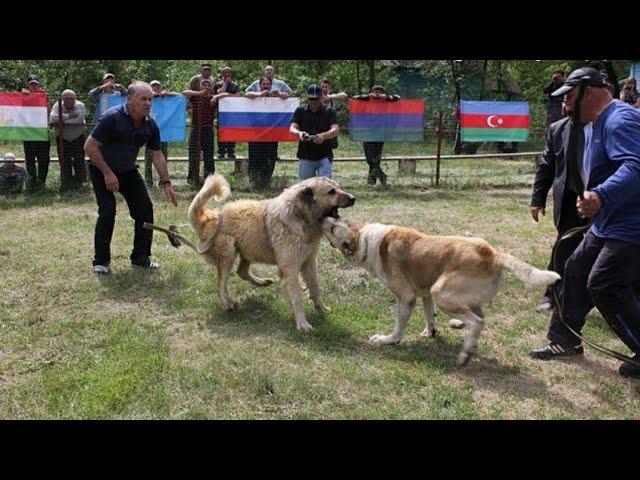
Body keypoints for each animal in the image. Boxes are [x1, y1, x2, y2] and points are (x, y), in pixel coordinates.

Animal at [188, 173, 358, 330]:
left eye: (338, 187)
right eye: (331, 191)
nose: (353, 198)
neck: (301, 216)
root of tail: (214, 216)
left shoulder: (309, 262)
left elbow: (315, 288)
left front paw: (322, 309)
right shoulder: (291, 268)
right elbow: (297, 297)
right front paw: (302, 324)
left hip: (249, 249)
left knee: (241, 271)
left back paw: (261, 282)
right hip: (228, 254)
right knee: (221, 284)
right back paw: (228, 303)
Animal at [322, 219, 556, 366]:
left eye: (333, 228)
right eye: (337, 218)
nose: (323, 218)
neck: (365, 239)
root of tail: (492, 254)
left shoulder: (406, 298)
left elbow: (398, 327)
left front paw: (388, 340)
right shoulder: (425, 293)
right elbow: (429, 315)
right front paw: (430, 332)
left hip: (442, 294)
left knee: (477, 322)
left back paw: (465, 355)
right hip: (459, 298)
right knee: (479, 318)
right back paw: (470, 344)